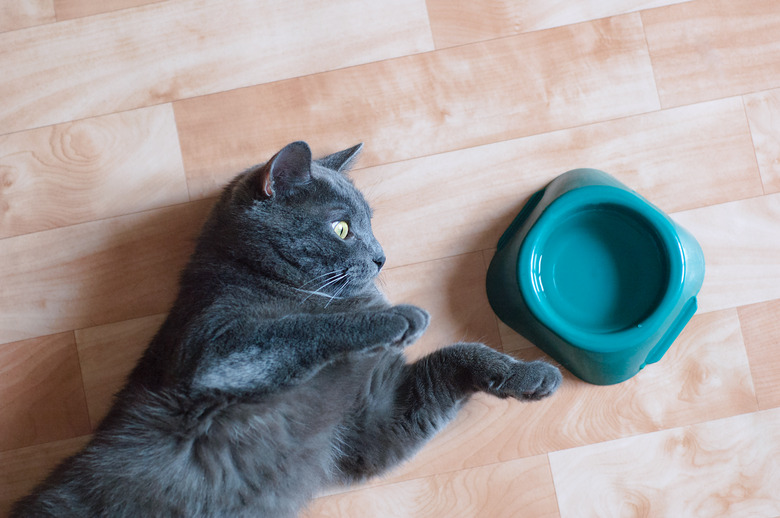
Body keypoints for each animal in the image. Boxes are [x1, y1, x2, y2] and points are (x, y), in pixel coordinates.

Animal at [12, 142, 560, 518]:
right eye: (342, 228)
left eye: (370, 222)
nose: (382, 257)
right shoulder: (213, 351)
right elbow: (302, 327)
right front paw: (399, 318)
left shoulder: (373, 419)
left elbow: (456, 356)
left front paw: (530, 375)